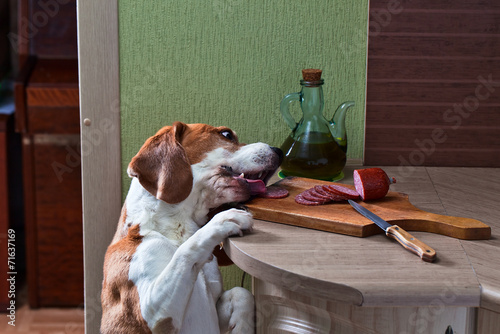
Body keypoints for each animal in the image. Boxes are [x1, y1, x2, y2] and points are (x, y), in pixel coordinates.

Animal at [100, 122, 282, 334]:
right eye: (227, 134)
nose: (280, 152)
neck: (176, 231)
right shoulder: (154, 313)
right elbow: (187, 251)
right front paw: (223, 219)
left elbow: (241, 292)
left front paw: (242, 327)